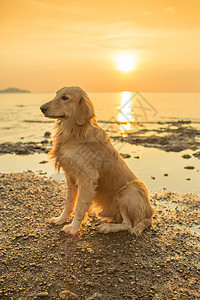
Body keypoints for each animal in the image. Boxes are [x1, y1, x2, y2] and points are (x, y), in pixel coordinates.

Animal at [39, 86, 154, 237]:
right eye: (56, 95)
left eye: (65, 98)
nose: (42, 108)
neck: (74, 133)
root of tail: (149, 214)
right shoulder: (70, 177)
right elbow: (69, 203)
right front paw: (61, 219)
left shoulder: (88, 178)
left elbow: (79, 207)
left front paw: (73, 228)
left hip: (129, 190)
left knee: (128, 224)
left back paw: (107, 227)